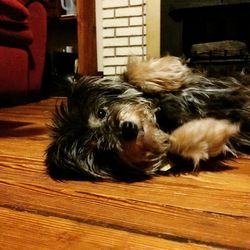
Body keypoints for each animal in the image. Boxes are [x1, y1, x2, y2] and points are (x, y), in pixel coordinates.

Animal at [45, 55, 250, 181]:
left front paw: (168, 71)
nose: (128, 129)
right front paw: (208, 131)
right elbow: (175, 143)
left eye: (101, 112)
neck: (161, 120)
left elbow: (131, 76)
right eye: (104, 150)